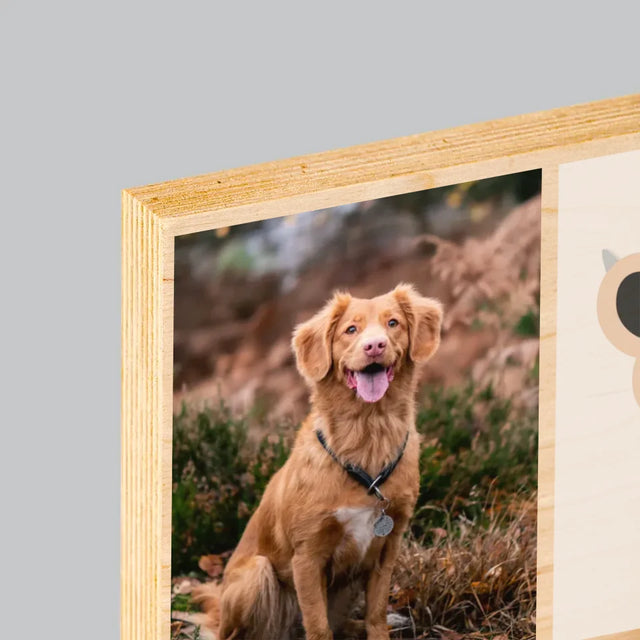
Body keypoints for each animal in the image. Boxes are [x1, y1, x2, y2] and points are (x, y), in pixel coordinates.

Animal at [194, 282, 444, 636]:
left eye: (393, 323)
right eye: (350, 330)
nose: (374, 345)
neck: (368, 432)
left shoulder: (387, 548)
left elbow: (376, 615)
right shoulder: (307, 556)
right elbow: (318, 625)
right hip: (258, 575)